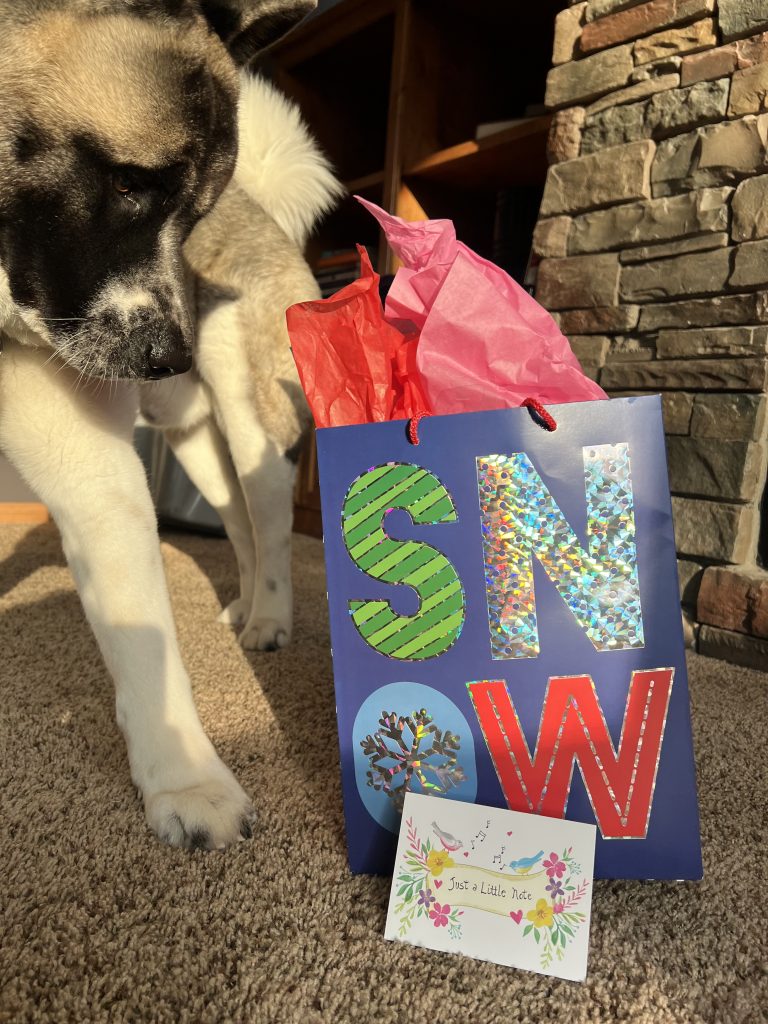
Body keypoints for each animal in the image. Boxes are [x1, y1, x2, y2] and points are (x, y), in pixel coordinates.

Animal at [0, 0, 343, 849]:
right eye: (129, 184)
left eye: (191, 218)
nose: (169, 354)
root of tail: (266, 212)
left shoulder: (95, 479)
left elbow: (144, 644)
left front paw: (187, 785)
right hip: (195, 447)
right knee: (239, 528)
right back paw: (244, 609)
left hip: (247, 422)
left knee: (271, 527)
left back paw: (270, 622)